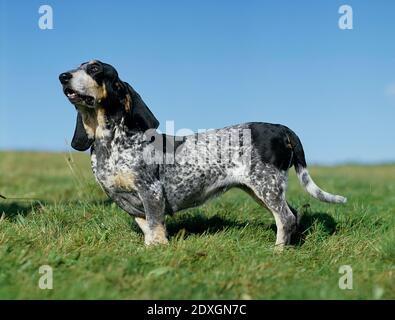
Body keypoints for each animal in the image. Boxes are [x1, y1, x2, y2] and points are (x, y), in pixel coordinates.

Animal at [58, 60, 346, 248]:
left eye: (94, 69)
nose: (62, 76)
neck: (111, 142)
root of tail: (281, 128)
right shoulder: (127, 201)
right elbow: (148, 229)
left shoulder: (151, 192)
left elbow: (156, 227)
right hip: (261, 190)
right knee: (292, 215)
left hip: (267, 187)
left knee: (285, 218)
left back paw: (277, 251)